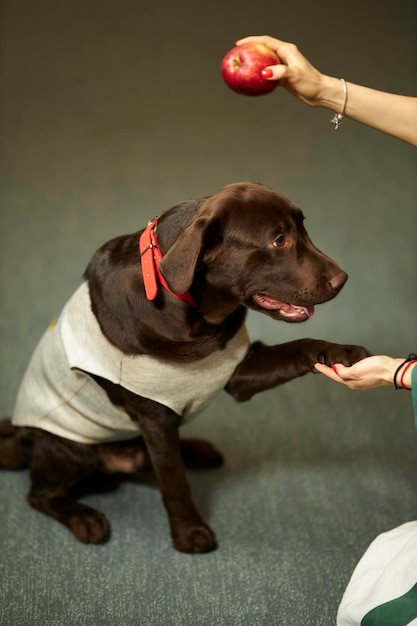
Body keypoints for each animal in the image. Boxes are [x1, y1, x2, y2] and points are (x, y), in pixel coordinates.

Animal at [0, 180, 370, 552]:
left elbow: (300, 346)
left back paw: (195, 450)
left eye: (303, 228)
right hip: (70, 450)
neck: (195, 315)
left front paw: (342, 352)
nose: (343, 278)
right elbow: (175, 481)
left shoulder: (238, 373)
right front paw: (190, 532)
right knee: (39, 495)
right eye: (279, 240)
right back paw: (84, 518)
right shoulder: (155, 420)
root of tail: (19, 435)